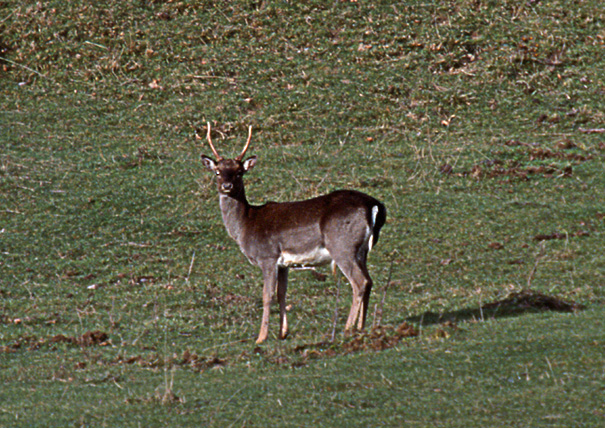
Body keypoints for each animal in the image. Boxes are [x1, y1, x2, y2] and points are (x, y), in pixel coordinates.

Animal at [201, 122, 384, 342]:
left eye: (239, 172)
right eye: (218, 172)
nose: (226, 186)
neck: (246, 224)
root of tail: (372, 205)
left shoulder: (267, 256)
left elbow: (267, 295)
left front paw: (261, 337)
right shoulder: (283, 264)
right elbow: (282, 293)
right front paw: (282, 332)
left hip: (342, 245)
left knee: (359, 282)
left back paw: (347, 329)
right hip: (361, 250)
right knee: (369, 281)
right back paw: (361, 327)